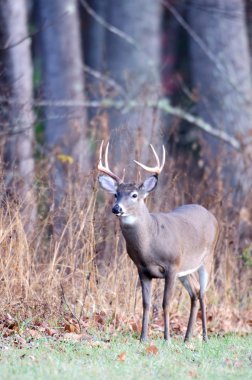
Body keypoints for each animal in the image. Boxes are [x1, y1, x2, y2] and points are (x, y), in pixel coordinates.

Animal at [97, 141, 220, 342]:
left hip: (207, 258)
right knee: (194, 292)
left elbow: (165, 303)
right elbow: (146, 304)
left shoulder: (172, 266)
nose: (116, 208)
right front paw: (143, 338)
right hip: (185, 269)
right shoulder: (142, 270)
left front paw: (167, 338)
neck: (149, 245)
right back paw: (187, 338)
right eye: (116, 194)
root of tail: (211, 215)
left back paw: (204, 336)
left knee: (202, 293)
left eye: (134, 195)